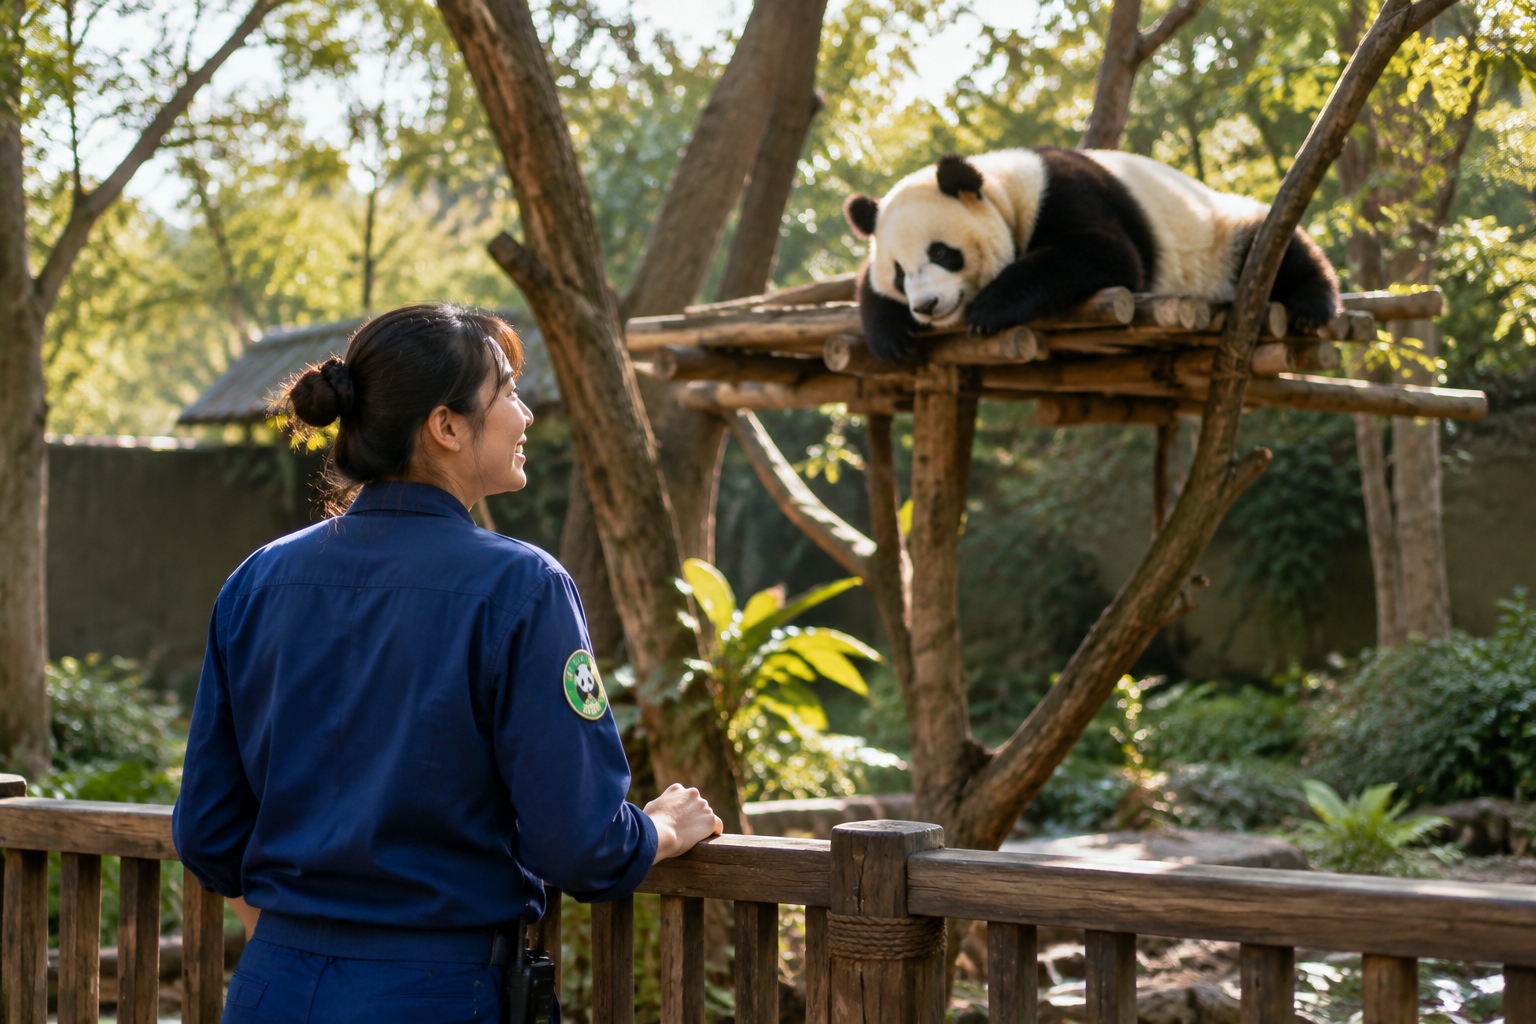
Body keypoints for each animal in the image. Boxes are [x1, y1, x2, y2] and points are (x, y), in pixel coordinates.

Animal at [842, 147, 1339, 363]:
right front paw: (893, 337)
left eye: (943, 252)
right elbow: (863, 281)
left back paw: (1312, 304)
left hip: (1221, 232)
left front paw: (988, 310)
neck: (1003, 189)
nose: (926, 306)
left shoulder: (1069, 193)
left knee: (1272, 243)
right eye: (900, 272)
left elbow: (1106, 255)